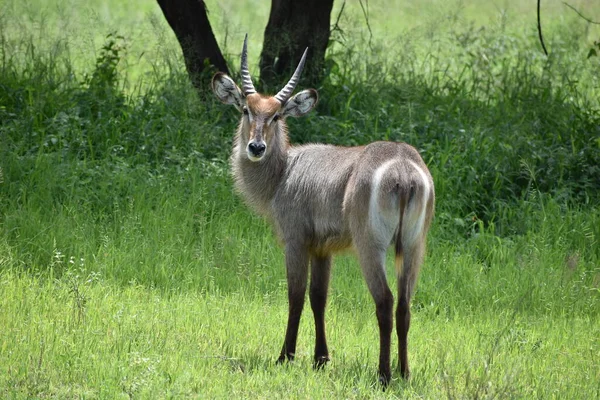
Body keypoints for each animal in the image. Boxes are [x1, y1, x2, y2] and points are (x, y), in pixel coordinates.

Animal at [213, 36, 434, 386]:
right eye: (247, 110)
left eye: (276, 116)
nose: (256, 147)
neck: (283, 172)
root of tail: (404, 168)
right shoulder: (322, 248)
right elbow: (319, 298)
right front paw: (320, 359)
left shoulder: (296, 241)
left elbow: (296, 295)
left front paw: (285, 356)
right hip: (413, 246)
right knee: (405, 305)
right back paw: (404, 372)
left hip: (370, 245)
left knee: (385, 301)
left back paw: (384, 375)